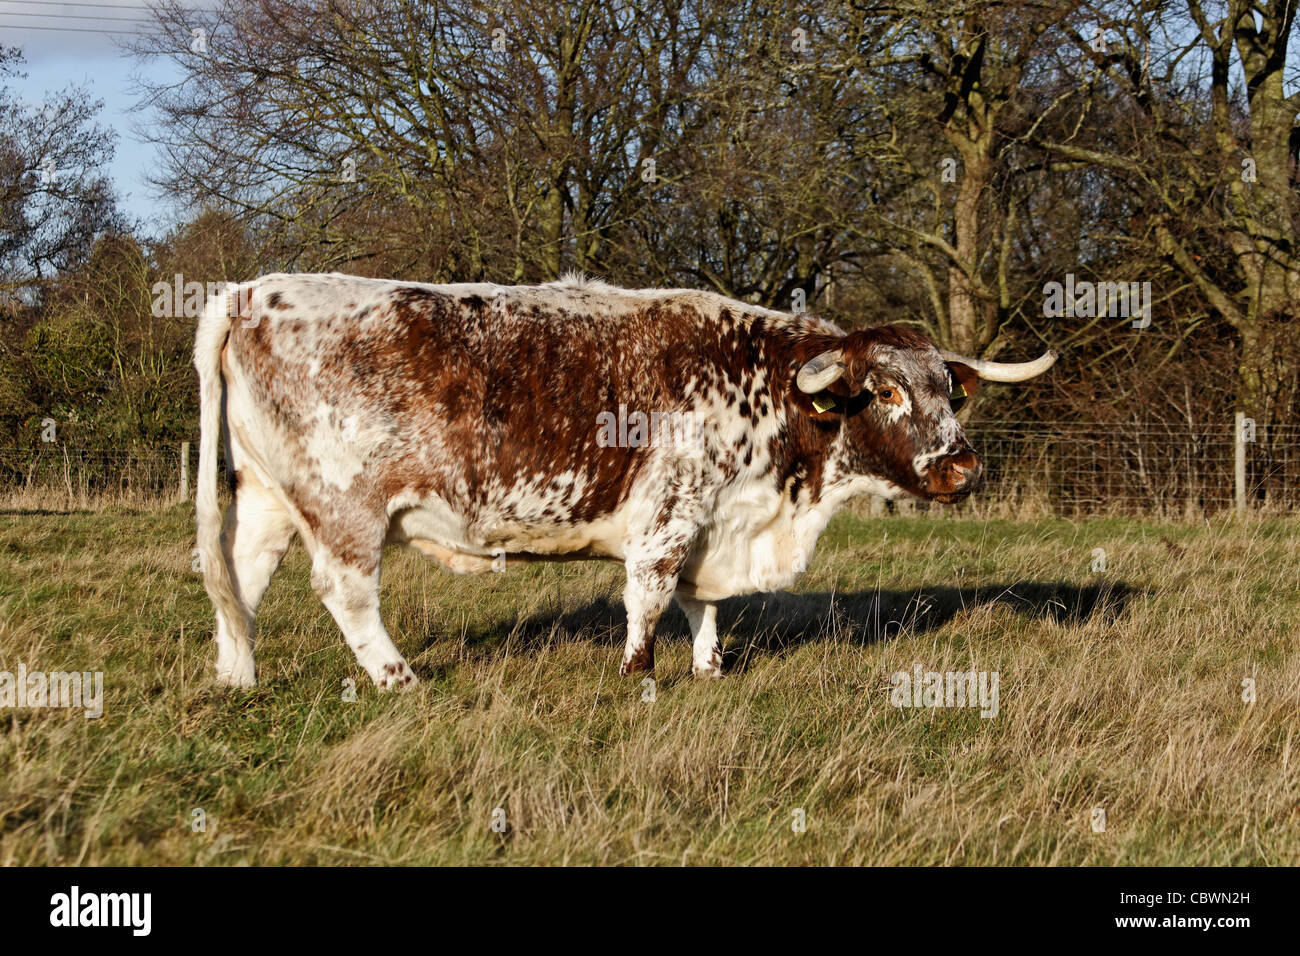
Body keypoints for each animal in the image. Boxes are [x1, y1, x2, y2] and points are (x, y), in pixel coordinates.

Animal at [194, 272, 1056, 689]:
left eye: (948, 391)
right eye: (883, 392)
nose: (963, 466)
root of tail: (251, 290)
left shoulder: (715, 521)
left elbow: (703, 602)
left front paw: (709, 668)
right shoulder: (670, 514)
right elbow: (650, 593)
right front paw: (638, 674)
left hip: (267, 497)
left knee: (239, 575)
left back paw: (238, 677)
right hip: (345, 507)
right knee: (344, 592)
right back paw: (398, 679)